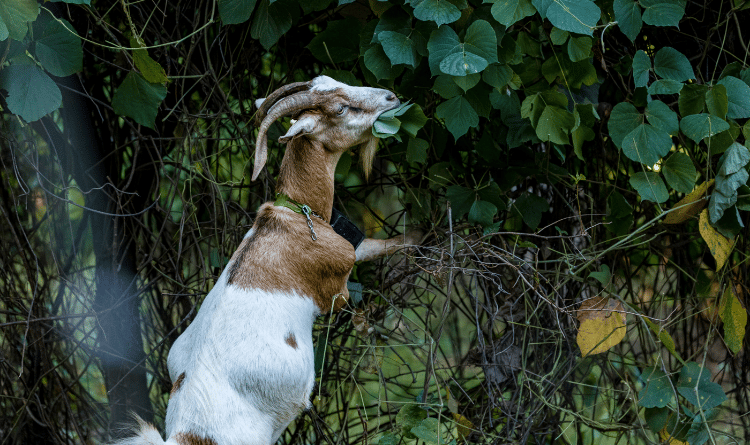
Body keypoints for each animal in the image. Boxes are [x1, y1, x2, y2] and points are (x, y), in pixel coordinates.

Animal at [113, 76, 420, 445]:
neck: (298, 214)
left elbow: (376, 245)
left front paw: (422, 235)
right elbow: (361, 285)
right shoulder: (336, 287)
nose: (391, 97)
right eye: (341, 108)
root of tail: (187, 433)